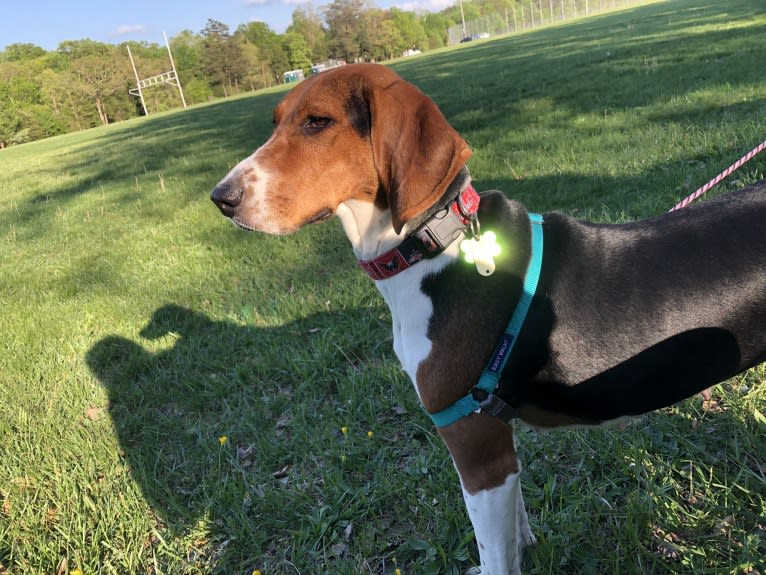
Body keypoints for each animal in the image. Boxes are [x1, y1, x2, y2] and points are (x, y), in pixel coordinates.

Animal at [213, 63, 766, 575]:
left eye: (318, 122)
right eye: (276, 122)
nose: (221, 198)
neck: (431, 246)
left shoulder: (475, 448)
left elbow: (496, 555)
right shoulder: (500, 442)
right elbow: (515, 533)